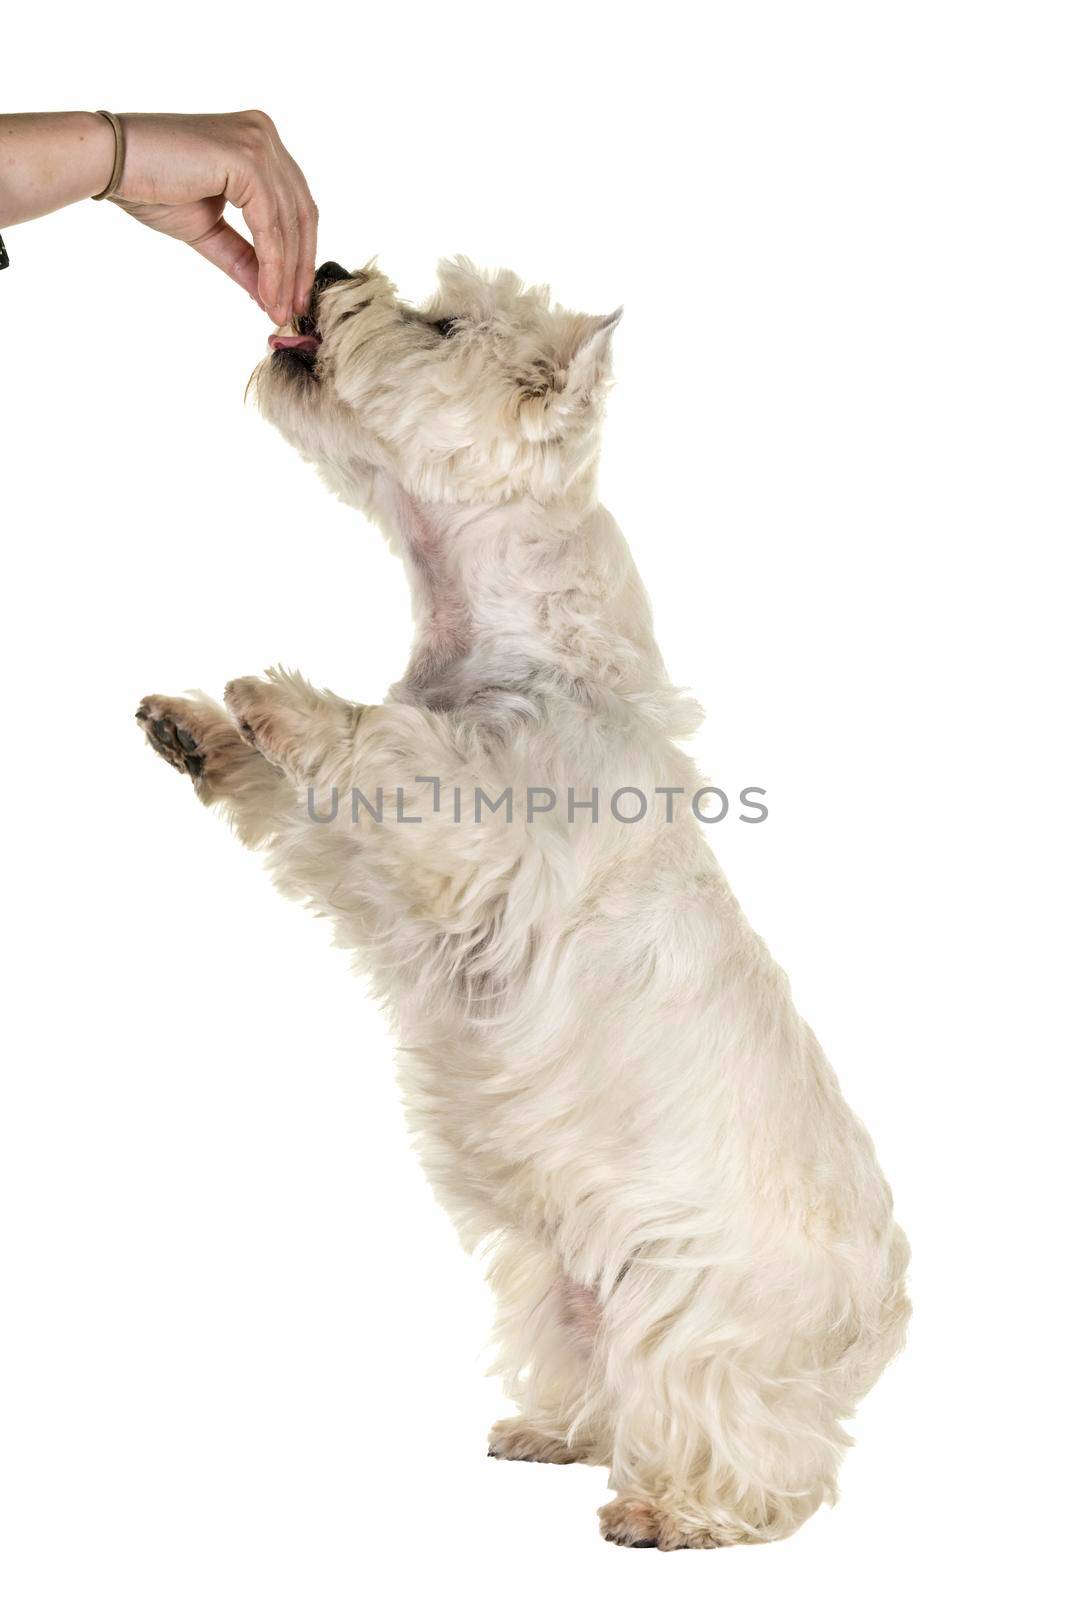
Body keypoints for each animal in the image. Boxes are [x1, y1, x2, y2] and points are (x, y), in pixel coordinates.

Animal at [139, 259, 908, 1548]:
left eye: (439, 321)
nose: (329, 269)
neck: (496, 628)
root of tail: (882, 1306)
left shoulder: (484, 823)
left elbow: (389, 751)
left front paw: (274, 695)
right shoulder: (361, 869)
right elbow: (298, 798)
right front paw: (196, 726)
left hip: (709, 1311)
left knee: (756, 1449)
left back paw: (667, 1511)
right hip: (561, 1277)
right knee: (601, 1382)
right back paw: (551, 1432)